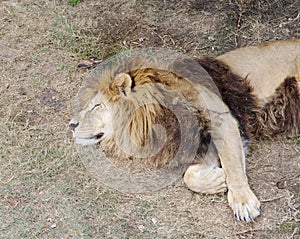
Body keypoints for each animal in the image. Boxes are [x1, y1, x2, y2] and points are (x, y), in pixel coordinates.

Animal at [69, 38, 300, 223]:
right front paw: (217, 179)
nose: (71, 125)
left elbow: (232, 165)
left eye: (96, 106)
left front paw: (243, 202)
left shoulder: (222, 118)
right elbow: (191, 175)